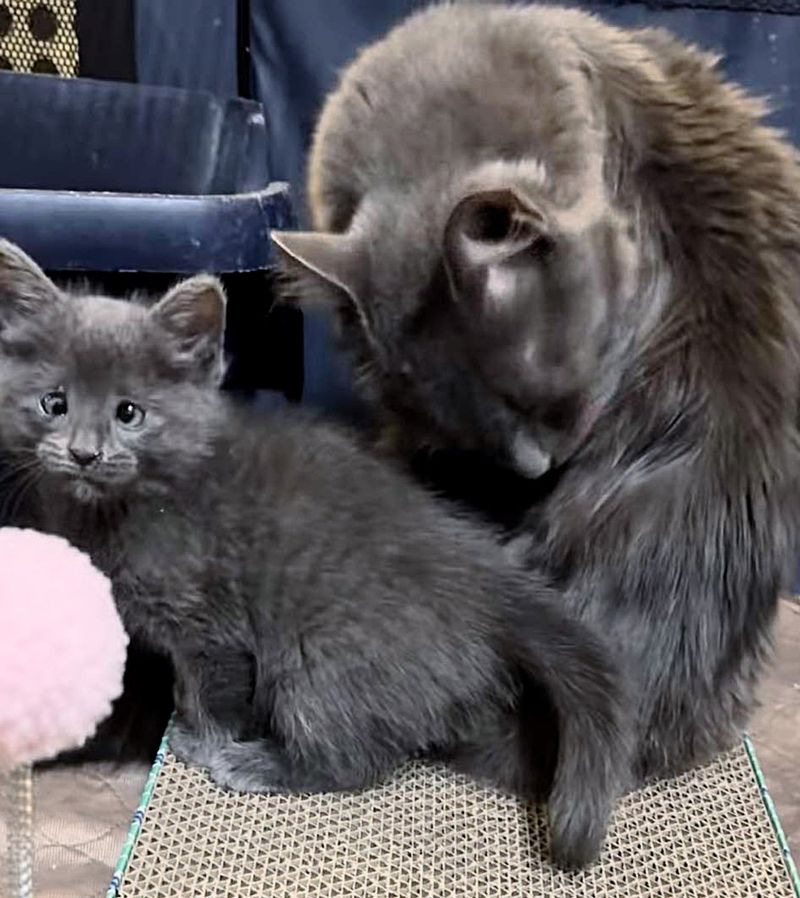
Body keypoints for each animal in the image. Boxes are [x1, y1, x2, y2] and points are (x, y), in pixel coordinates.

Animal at [0, 240, 632, 868]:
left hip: (323, 661)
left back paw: (258, 764)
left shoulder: (213, 627)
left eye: (129, 412)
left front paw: (201, 742)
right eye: (54, 403)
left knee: (353, 758)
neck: (130, 505)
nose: (84, 453)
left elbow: (208, 690)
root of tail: (486, 577)